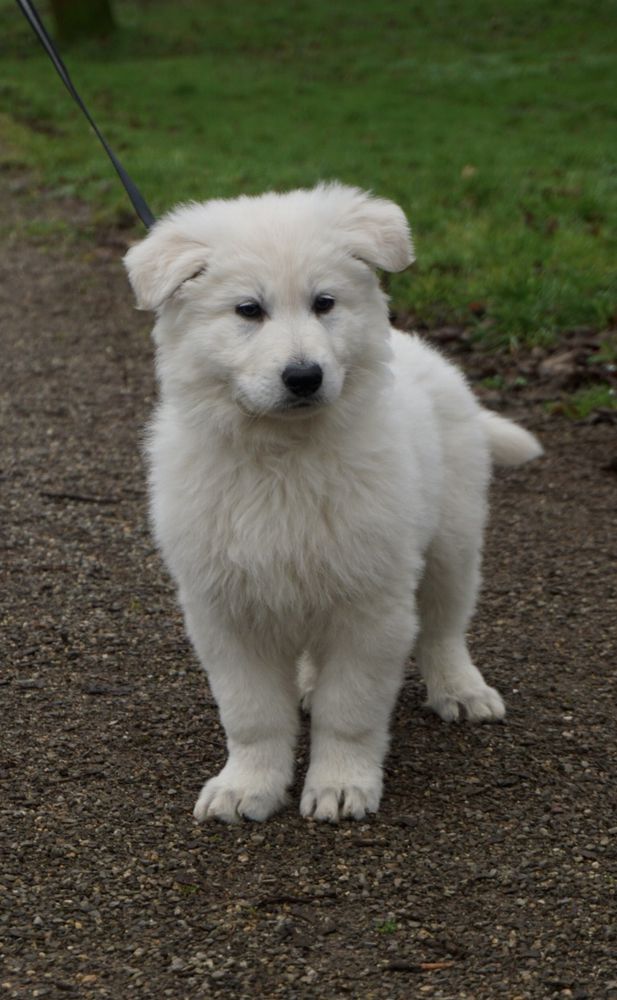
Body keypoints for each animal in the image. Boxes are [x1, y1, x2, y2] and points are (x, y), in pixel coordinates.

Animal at [124, 184, 540, 824]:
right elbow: (251, 714)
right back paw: (305, 684)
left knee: (444, 625)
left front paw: (341, 785)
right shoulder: (227, 608)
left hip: (452, 538)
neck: (285, 457)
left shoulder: (370, 604)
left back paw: (461, 689)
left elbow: (351, 710)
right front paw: (247, 786)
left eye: (324, 303)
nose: (304, 376)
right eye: (248, 310)